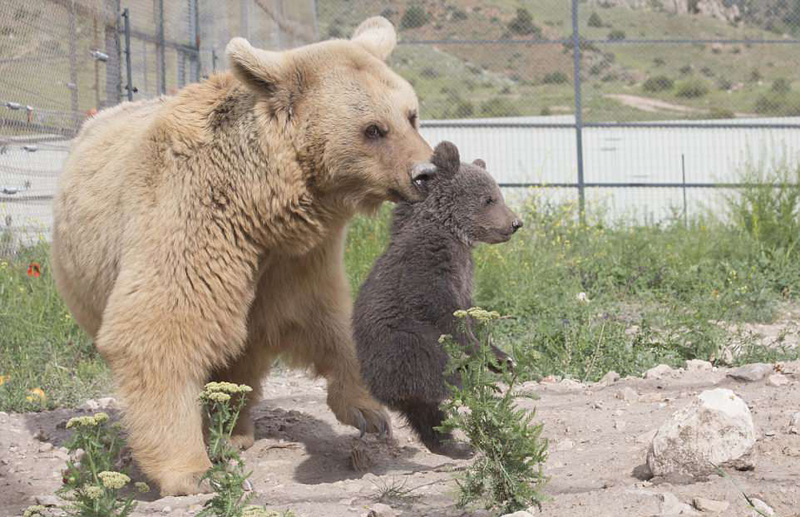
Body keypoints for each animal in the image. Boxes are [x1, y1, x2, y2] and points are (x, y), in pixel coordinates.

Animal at [52, 17, 434, 496]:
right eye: (373, 129)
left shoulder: (299, 256)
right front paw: (188, 470)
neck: (260, 205)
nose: (426, 172)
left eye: (411, 115)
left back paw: (235, 431)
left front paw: (370, 411)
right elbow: (160, 328)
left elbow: (324, 317)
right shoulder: (189, 216)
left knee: (245, 349)